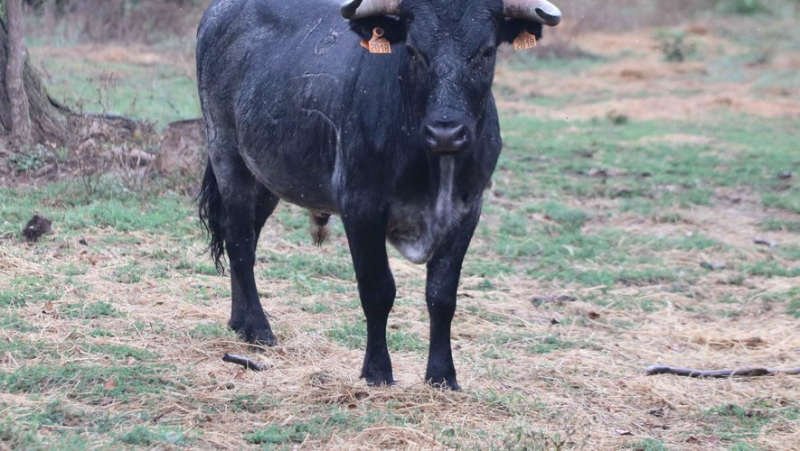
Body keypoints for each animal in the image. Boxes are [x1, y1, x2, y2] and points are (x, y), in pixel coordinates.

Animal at [198, 0, 564, 388]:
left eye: (486, 51)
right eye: (414, 51)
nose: (446, 132)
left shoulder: (467, 211)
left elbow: (442, 295)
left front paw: (442, 375)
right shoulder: (361, 208)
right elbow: (378, 290)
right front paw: (377, 370)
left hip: (267, 178)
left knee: (247, 240)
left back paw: (239, 321)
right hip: (228, 157)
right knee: (239, 244)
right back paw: (258, 329)